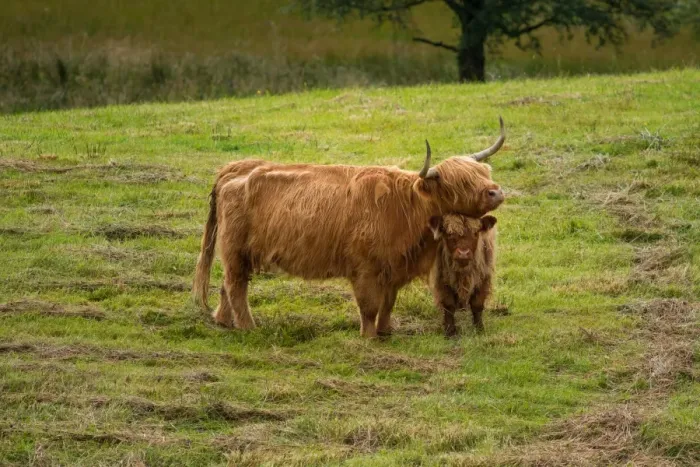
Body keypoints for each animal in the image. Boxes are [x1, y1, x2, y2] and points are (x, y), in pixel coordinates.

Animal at [192, 118, 506, 338]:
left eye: (483, 172)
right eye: (459, 183)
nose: (496, 191)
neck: (406, 207)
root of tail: (234, 168)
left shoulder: (393, 268)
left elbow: (388, 303)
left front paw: (386, 331)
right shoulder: (365, 268)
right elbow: (369, 306)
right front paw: (369, 336)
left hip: (239, 254)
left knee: (227, 285)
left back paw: (224, 321)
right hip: (235, 250)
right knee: (236, 286)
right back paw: (248, 327)